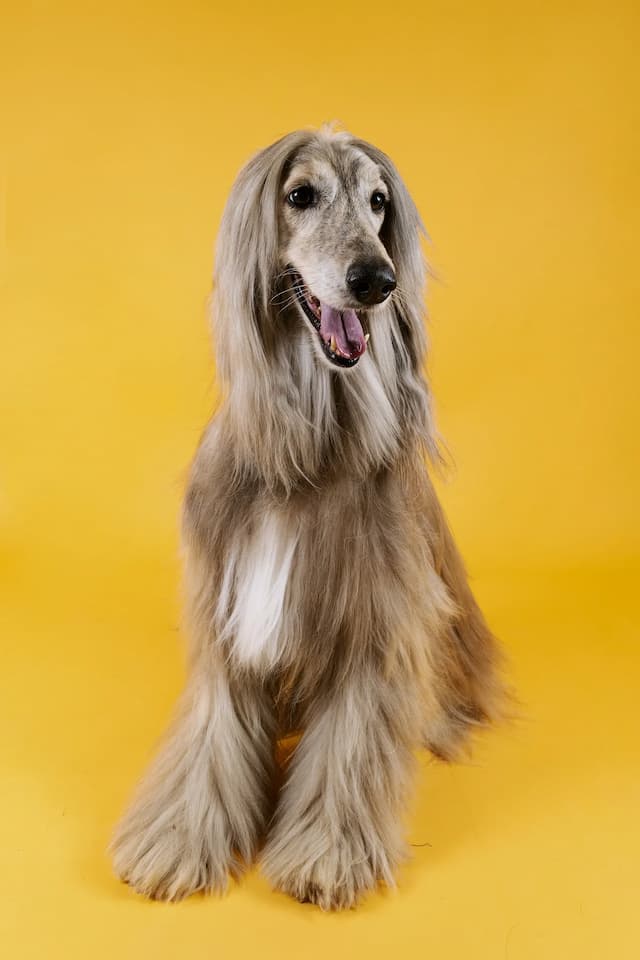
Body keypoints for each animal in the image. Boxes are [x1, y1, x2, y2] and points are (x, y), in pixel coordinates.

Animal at [111, 125, 504, 908]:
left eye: (379, 202)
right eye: (300, 194)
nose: (375, 281)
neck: (309, 448)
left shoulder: (375, 620)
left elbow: (347, 745)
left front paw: (327, 853)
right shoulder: (227, 615)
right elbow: (212, 737)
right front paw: (179, 841)